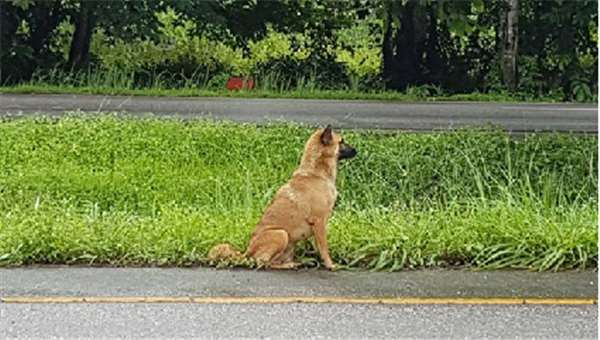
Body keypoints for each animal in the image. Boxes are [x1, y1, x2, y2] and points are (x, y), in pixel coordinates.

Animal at [207, 125, 356, 270]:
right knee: (264, 263)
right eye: (341, 141)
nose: (356, 151)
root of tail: (247, 253)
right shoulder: (319, 222)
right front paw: (330, 265)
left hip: (289, 245)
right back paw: (290, 265)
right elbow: (324, 248)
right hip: (281, 234)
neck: (316, 174)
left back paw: (296, 263)